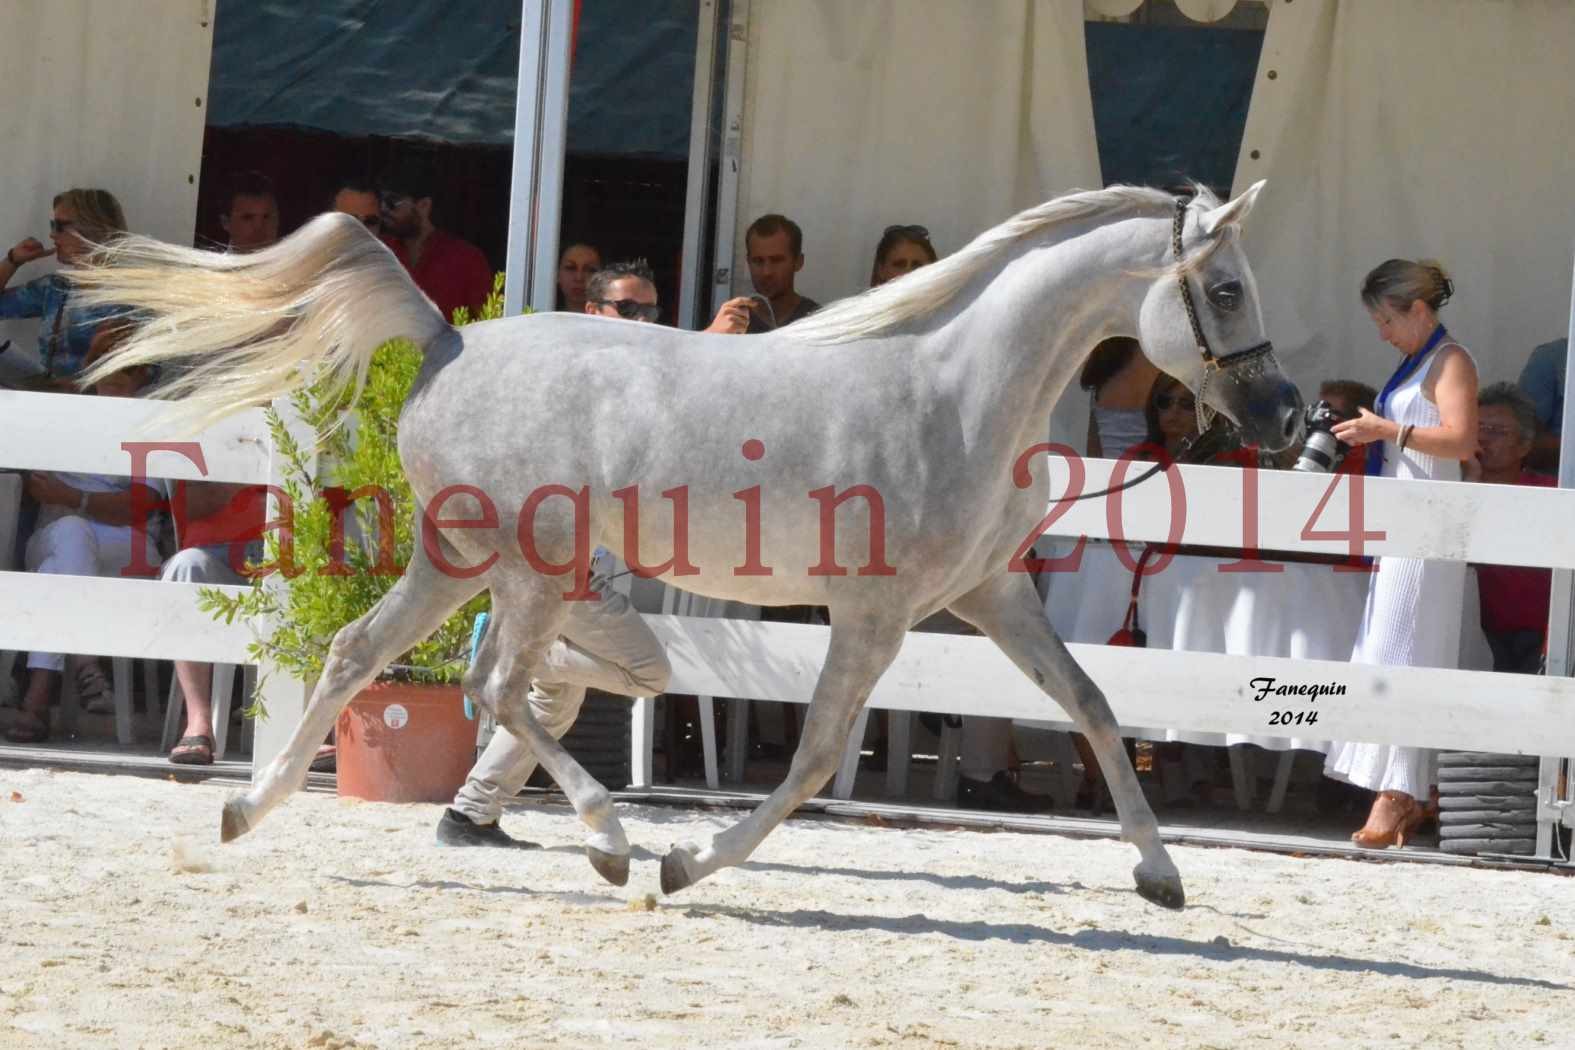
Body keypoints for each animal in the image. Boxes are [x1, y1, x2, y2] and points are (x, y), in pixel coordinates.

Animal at [79, 178, 1297, 906]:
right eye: (1227, 287)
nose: (1286, 419)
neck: (955, 394)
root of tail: (442, 338)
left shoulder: (991, 594)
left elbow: (1090, 704)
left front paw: (1161, 875)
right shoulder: (873, 613)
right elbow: (814, 759)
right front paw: (685, 862)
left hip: (465, 562)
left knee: (373, 658)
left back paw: (245, 811)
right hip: (524, 566)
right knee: (489, 685)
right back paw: (613, 840)